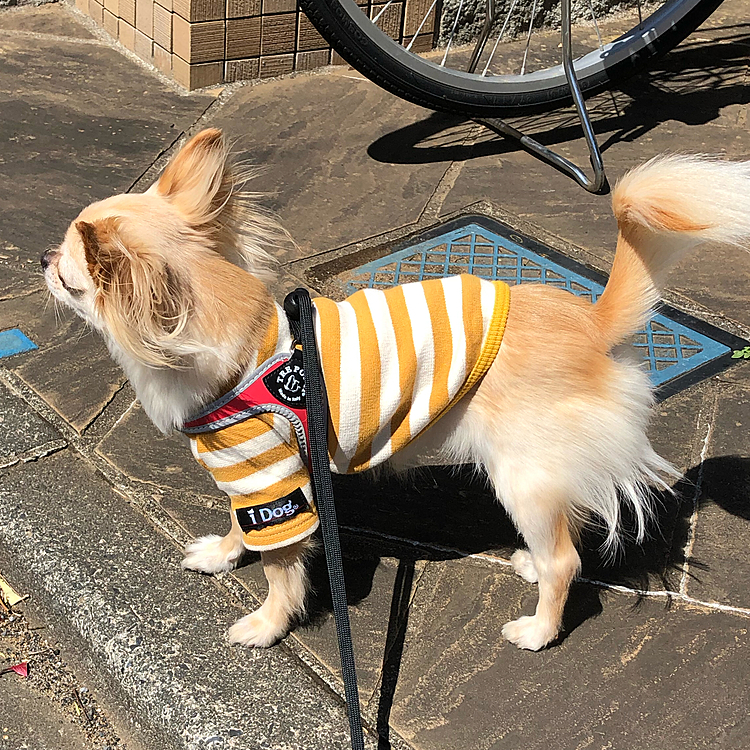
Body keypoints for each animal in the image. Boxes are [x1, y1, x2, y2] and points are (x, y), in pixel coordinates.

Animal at [44, 129, 750, 652]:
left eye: (68, 274)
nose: (43, 260)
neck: (243, 349)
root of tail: (592, 320)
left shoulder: (272, 480)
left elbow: (278, 566)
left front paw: (268, 626)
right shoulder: (255, 485)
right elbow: (242, 532)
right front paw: (220, 555)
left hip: (520, 474)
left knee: (566, 563)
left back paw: (538, 630)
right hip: (542, 473)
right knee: (565, 535)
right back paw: (527, 561)